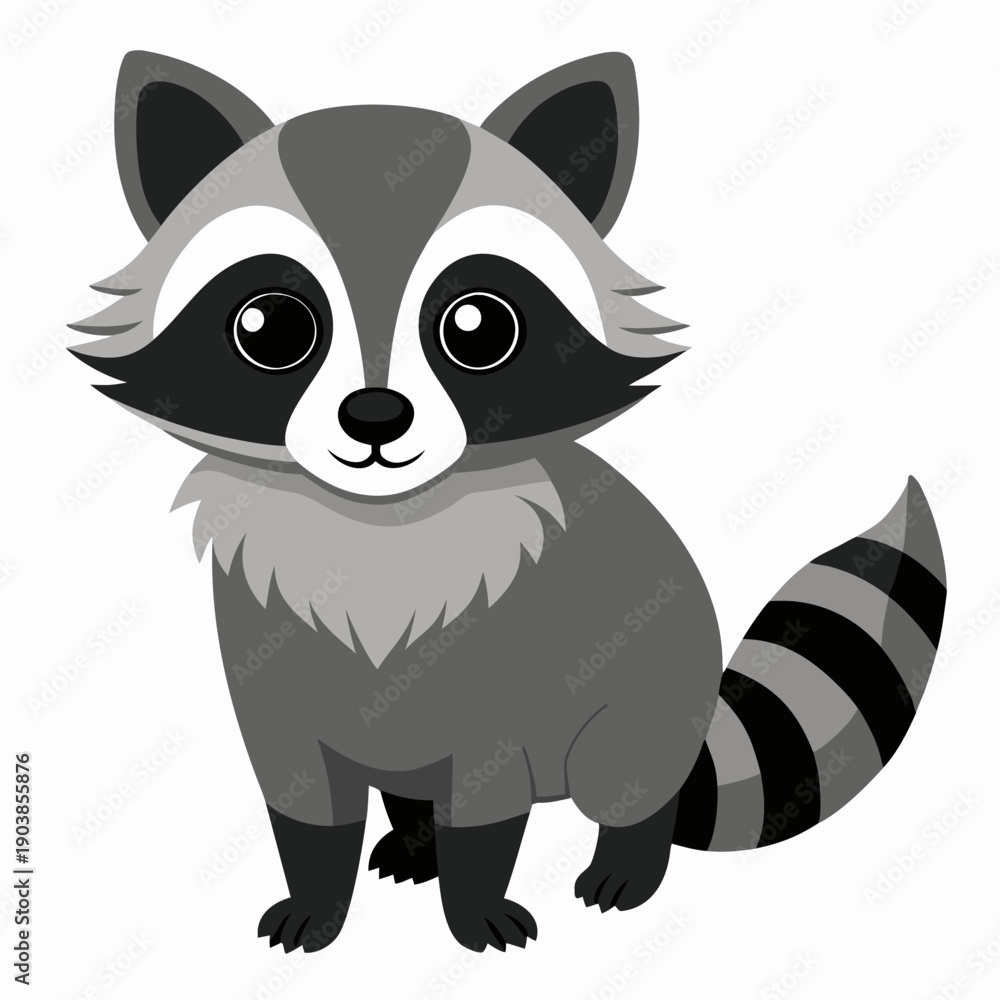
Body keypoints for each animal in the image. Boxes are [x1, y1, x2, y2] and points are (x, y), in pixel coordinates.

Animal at [72, 50, 947, 954]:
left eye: (478, 327)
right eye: (271, 327)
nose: (375, 418)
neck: (375, 526)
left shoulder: (498, 677)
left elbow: (488, 805)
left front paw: (474, 902)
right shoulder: (270, 665)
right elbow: (304, 805)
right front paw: (319, 893)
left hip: (647, 698)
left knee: (624, 778)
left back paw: (627, 856)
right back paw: (415, 842)